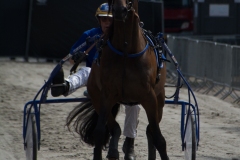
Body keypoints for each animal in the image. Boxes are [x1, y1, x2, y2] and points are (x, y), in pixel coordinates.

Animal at [65, 0, 167, 159]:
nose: (120, 10)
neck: (126, 51)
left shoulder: (149, 97)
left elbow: (158, 138)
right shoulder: (106, 95)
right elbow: (100, 132)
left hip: (159, 101)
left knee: (150, 131)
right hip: (98, 98)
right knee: (116, 128)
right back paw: (113, 151)